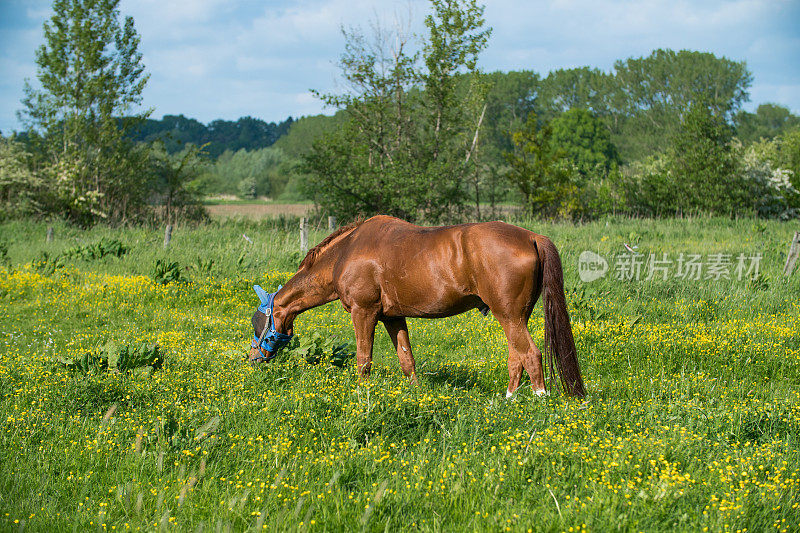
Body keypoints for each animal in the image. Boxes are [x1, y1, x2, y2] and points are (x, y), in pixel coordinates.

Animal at [250, 214, 588, 396]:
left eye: (259, 323)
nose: (253, 359)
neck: (347, 251)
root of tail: (532, 236)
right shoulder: (393, 318)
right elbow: (406, 359)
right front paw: (415, 395)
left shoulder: (364, 313)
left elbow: (363, 359)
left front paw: (361, 393)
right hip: (514, 317)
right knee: (516, 357)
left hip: (510, 316)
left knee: (530, 355)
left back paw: (538, 400)